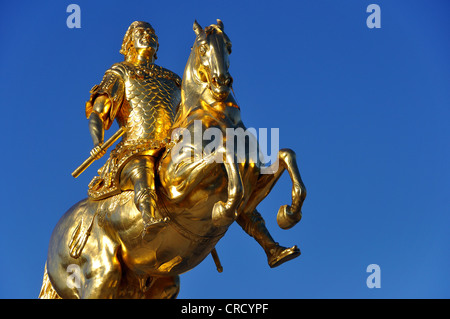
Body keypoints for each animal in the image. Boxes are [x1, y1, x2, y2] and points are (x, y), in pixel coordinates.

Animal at [39, 20, 306, 300]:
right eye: (202, 47)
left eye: (229, 46)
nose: (221, 82)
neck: (218, 119)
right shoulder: (177, 185)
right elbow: (223, 156)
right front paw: (224, 209)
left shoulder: (254, 176)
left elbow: (285, 156)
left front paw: (289, 214)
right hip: (101, 276)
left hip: (160, 284)